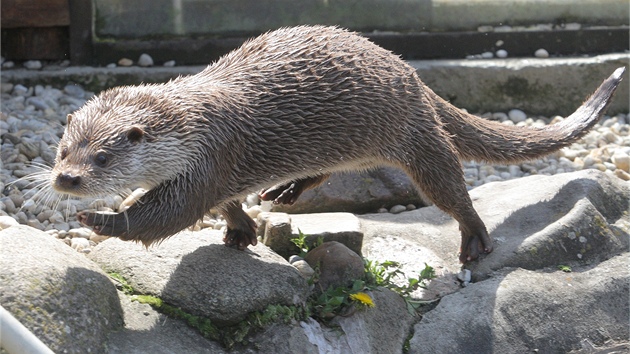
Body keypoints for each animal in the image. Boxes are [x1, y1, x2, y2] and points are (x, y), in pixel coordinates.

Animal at [49, 25, 628, 262]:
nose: (66, 179)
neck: (189, 122)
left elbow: (169, 212)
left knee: (452, 191)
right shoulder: (216, 167)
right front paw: (240, 232)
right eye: (62, 149)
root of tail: (412, 75)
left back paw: (474, 241)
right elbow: (224, 202)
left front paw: (99, 220)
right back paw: (284, 193)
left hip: (418, 135)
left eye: (102, 157)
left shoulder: (211, 156)